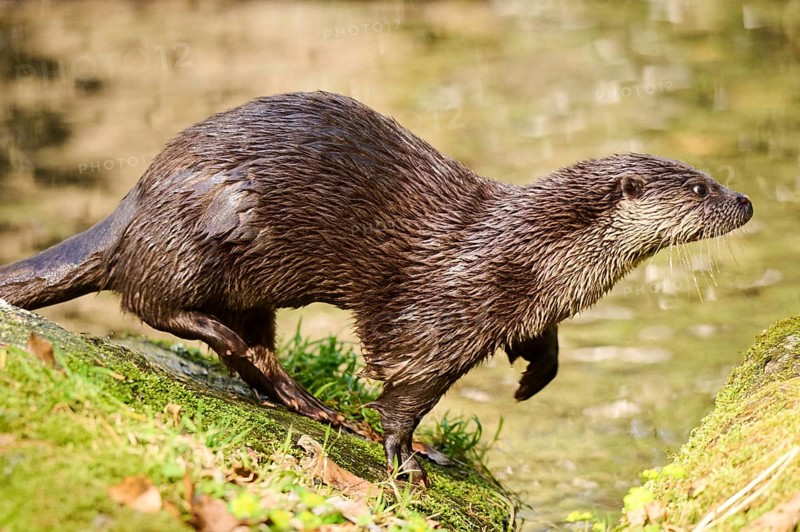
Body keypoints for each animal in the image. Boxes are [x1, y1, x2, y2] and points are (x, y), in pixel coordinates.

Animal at [0, 91, 753, 483]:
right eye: (699, 187)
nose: (745, 200)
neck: (529, 254)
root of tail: (139, 194)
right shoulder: (439, 314)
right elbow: (404, 390)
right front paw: (407, 459)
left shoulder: (526, 305)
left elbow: (542, 340)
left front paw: (534, 376)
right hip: (208, 222)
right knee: (148, 299)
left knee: (248, 348)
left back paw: (311, 403)